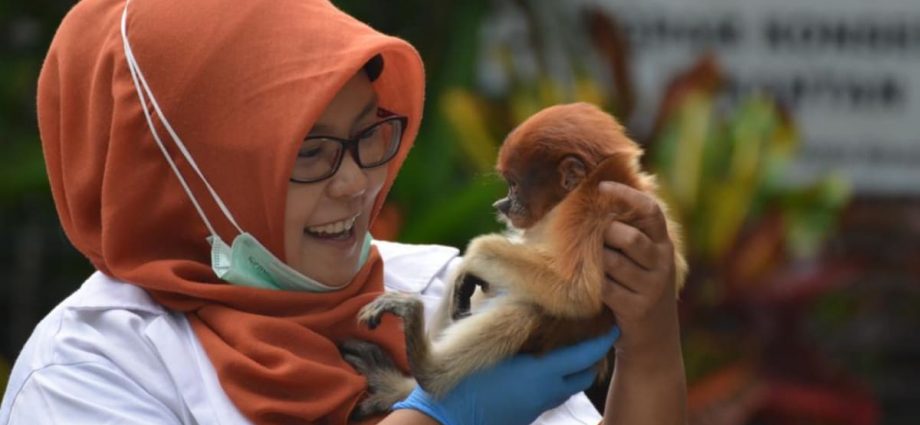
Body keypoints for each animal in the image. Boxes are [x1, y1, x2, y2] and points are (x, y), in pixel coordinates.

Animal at [342, 102, 688, 418]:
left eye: (514, 185)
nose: (501, 204)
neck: (595, 179)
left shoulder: (592, 209)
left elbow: (576, 292)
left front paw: (476, 255)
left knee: (523, 312)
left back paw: (426, 367)